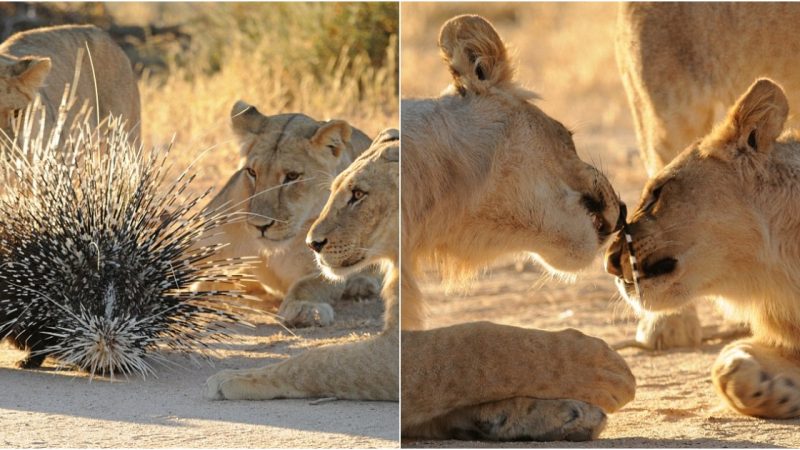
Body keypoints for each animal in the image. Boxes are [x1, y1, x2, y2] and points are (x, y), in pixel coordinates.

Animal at [203, 102, 384, 326]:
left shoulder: (326, 261)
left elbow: (309, 285)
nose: (260, 226)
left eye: (292, 176)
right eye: (252, 172)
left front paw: (304, 310)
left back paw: (361, 284)